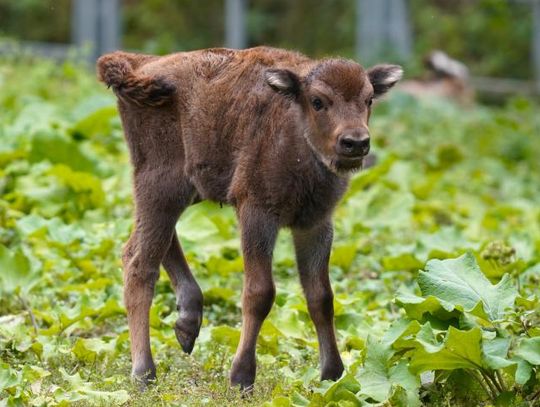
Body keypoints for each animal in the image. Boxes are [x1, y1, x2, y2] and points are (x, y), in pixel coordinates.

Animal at [96, 46, 400, 390]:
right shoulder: (257, 214)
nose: (356, 142)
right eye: (318, 101)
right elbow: (260, 293)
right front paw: (241, 377)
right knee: (139, 263)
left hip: (187, 188)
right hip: (160, 183)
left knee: (152, 242)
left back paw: (187, 324)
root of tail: (141, 63)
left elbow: (321, 297)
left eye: (369, 99)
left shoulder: (315, 224)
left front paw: (332, 374)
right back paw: (144, 373)